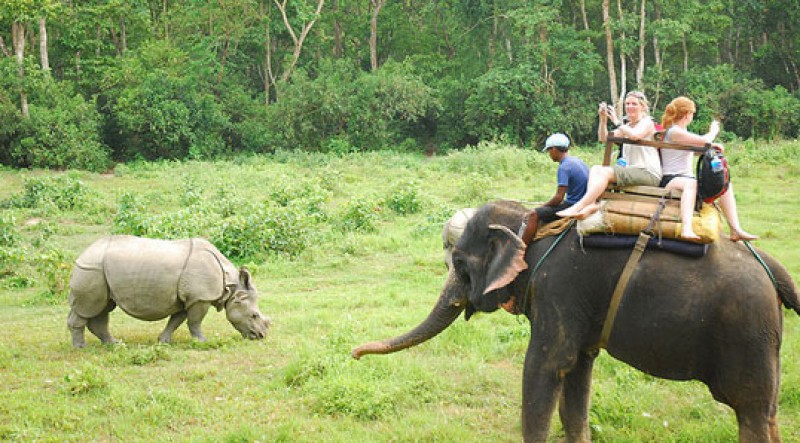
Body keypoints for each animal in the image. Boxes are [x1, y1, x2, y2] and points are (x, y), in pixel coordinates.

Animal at [352, 202, 800, 443]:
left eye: (460, 264)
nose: (354, 354)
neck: (530, 221)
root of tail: (774, 272)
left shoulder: (558, 289)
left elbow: (545, 369)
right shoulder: (578, 308)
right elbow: (578, 375)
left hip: (746, 333)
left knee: (750, 411)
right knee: (769, 413)